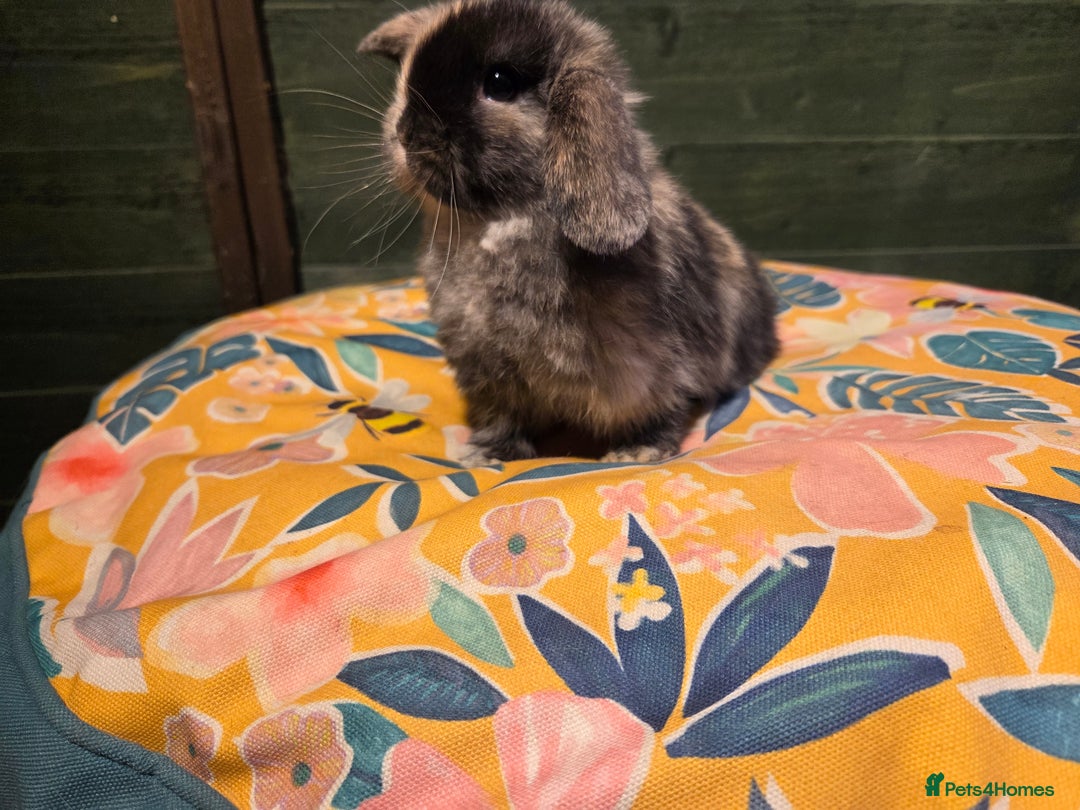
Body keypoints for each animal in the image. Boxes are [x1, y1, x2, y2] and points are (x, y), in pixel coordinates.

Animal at [359, 0, 779, 463]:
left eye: (500, 83)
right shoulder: (488, 373)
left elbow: (661, 409)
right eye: (407, 72)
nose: (406, 135)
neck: (499, 219)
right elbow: (502, 419)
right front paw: (490, 454)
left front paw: (637, 452)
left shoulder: (650, 371)